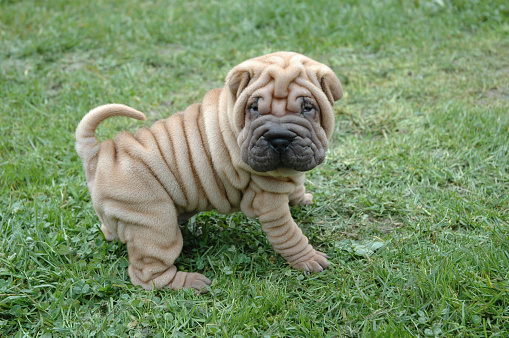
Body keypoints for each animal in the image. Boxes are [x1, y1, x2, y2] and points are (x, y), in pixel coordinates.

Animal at [75, 50, 344, 294]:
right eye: (254, 108)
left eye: (308, 108)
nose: (279, 137)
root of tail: (98, 154)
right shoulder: (269, 202)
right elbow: (289, 234)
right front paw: (308, 259)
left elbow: (297, 184)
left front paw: (301, 197)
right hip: (155, 224)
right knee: (147, 274)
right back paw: (190, 283)